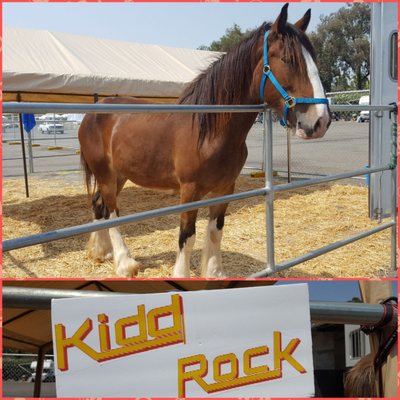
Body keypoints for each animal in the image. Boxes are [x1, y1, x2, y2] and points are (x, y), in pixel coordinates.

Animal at [79, 3, 332, 278]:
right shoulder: (189, 191)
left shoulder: (225, 188)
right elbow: (187, 235)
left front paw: (214, 273)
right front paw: (181, 275)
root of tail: (92, 112)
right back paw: (125, 263)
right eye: (287, 59)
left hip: (120, 175)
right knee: (112, 211)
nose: (320, 121)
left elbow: (215, 230)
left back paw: (101, 252)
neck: (210, 131)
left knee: (100, 205)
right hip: (105, 173)